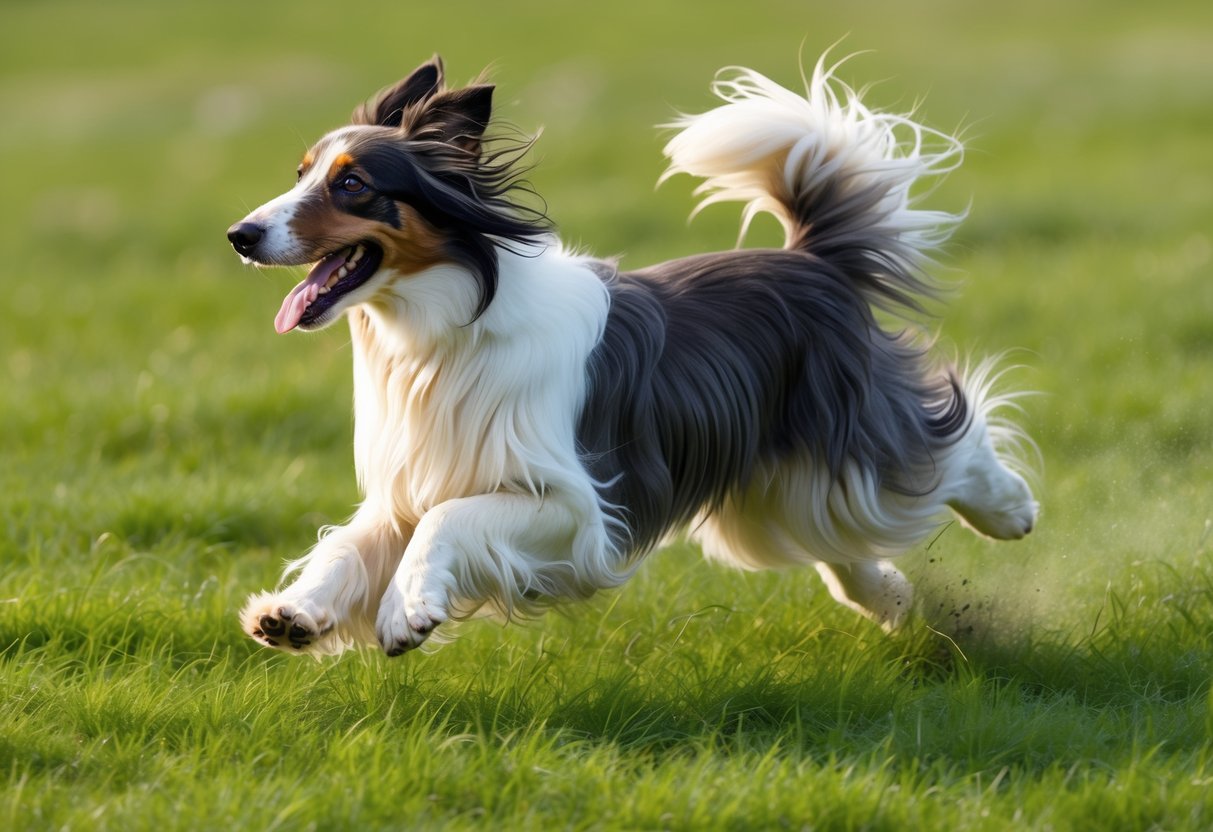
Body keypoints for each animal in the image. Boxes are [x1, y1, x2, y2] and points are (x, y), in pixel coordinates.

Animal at [225, 55, 1033, 659]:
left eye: (352, 184)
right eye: (300, 174)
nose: (239, 234)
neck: (442, 331)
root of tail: (811, 259)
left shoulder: (574, 508)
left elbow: (447, 521)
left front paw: (408, 608)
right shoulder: (417, 481)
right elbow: (350, 543)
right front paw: (293, 614)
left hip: (848, 449)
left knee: (942, 451)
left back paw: (1011, 509)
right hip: (769, 498)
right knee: (838, 543)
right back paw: (892, 602)